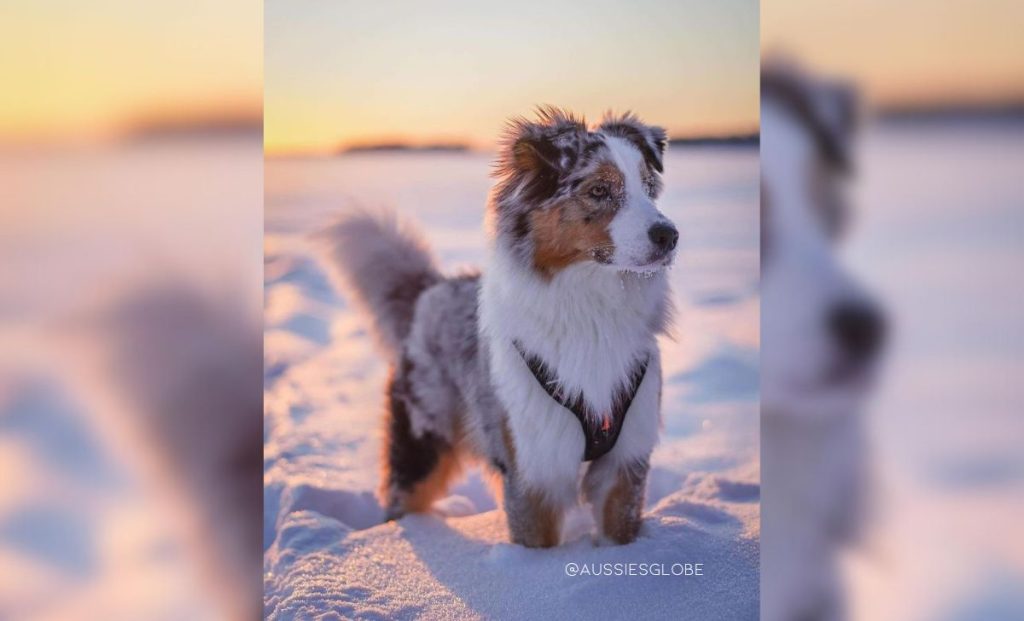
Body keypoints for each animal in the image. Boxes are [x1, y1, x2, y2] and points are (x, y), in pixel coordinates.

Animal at [323, 108, 675, 549]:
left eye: (649, 188)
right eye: (599, 190)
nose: (669, 236)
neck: (592, 312)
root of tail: (431, 289)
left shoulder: (625, 462)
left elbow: (619, 531)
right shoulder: (532, 469)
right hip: (423, 443)